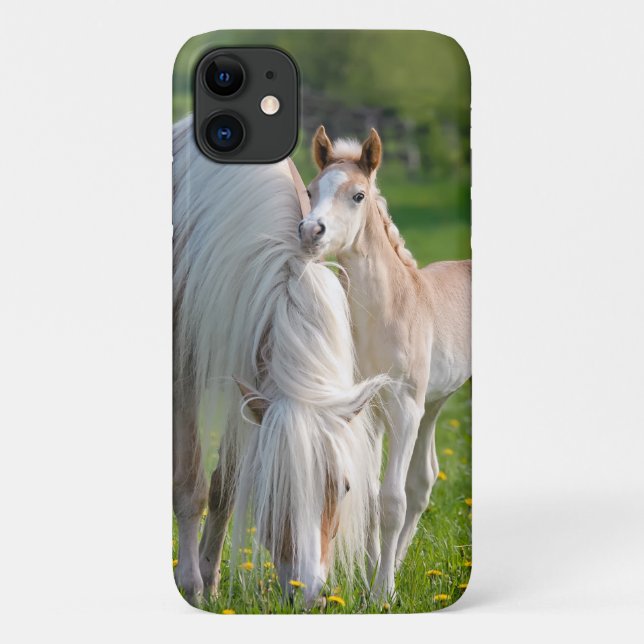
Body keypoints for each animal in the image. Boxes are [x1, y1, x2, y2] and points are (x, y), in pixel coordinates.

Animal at [172, 116, 388, 608]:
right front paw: (191, 585)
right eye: (275, 489)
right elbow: (190, 485)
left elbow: (226, 486)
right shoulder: (184, 377)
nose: (309, 596)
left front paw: (210, 578)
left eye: (345, 487)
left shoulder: (249, 382)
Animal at [298, 126, 472, 599]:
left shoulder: (404, 405)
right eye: (311, 189)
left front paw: (383, 593)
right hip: (433, 404)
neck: (388, 310)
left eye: (358, 195)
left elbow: (393, 498)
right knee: (425, 480)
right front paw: (372, 577)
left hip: (420, 406)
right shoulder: (371, 409)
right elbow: (376, 496)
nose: (310, 231)